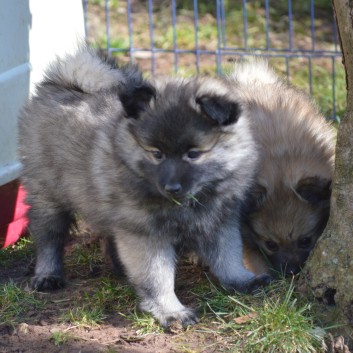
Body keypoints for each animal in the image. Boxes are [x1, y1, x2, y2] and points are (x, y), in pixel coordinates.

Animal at [19, 47, 270, 328]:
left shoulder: (220, 222)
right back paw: (48, 275)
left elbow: (228, 255)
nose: (171, 187)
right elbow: (157, 277)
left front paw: (241, 280)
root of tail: (62, 83)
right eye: (156, 154)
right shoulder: (146, 234)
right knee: (49, 237)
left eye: (193, 154)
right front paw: (171, 310)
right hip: (47, 193)